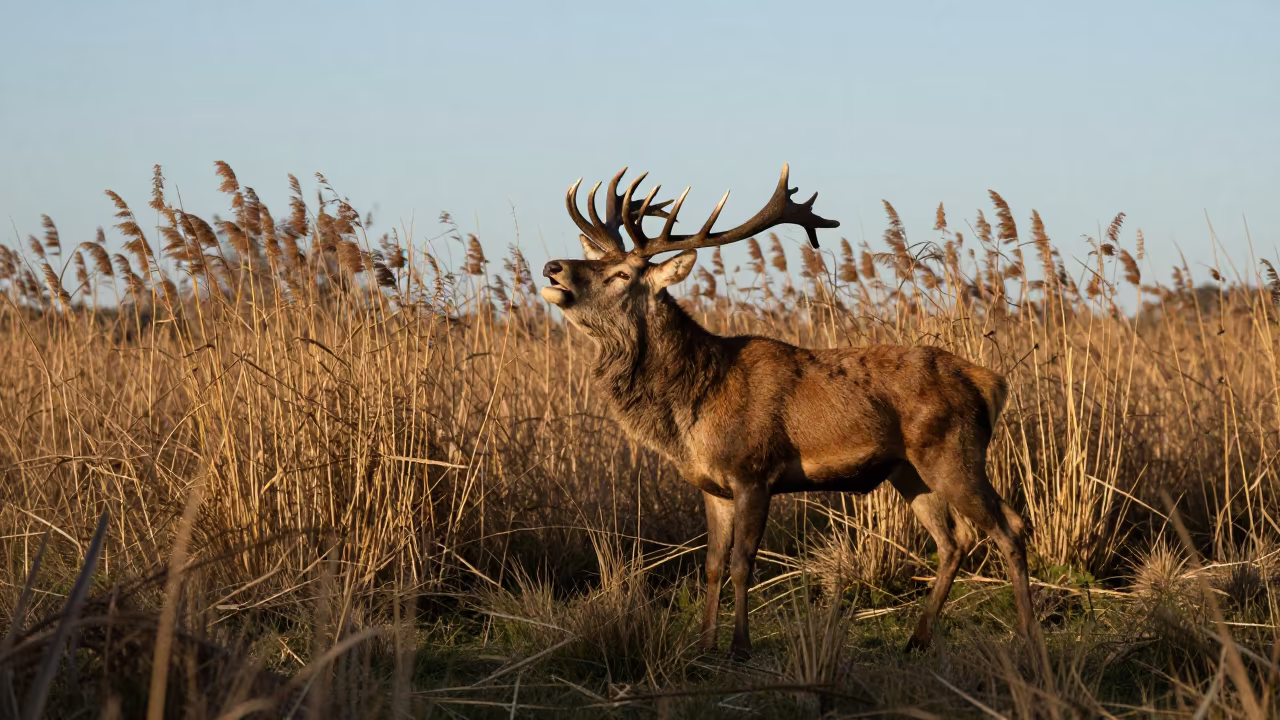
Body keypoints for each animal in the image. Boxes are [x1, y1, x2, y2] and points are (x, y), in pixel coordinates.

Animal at [539, 165, 1037, 659]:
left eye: (622, 274)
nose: (552, 267)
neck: (695, 404)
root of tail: (991, 382)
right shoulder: (713, 487)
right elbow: (712, 564)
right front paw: (705, 644)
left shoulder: (754, 471)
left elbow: (743, 564)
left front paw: (740, 646)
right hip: (910, 470)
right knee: (955, 540)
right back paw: (917, 639)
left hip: (955, 452)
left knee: (1010, 526)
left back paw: (1024, 638)